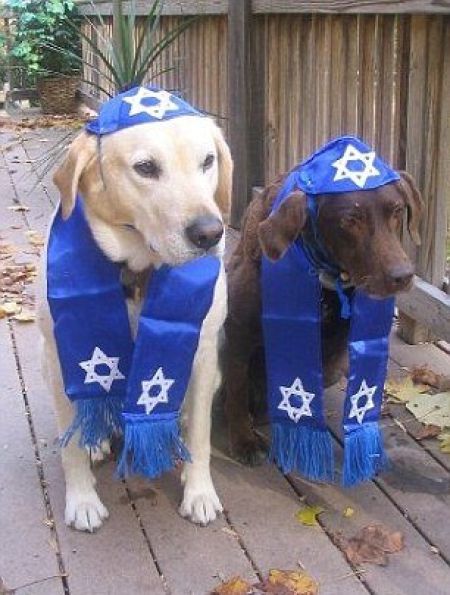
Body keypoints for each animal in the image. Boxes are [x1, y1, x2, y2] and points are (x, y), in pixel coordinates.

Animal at [38, 114, 233, 531]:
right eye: (145, 168)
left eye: (208, 161)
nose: (210, 233)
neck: (138, 271)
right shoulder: (60, 357)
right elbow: (70, 445)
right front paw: (81, 500)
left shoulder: (204, 352)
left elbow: (201, 435)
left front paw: (199, 492)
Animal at [225, 170, 423, 465]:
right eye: (350, 220)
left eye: (397, 211)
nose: (403, 276)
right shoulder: (238, 331)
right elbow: (237, 389)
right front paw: (243, 440)